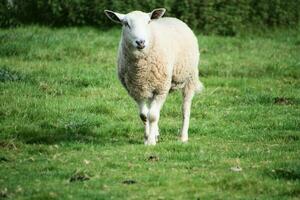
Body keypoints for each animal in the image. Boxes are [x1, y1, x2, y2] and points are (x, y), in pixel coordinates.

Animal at [103, 8, 204, 145]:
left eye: (148, 22)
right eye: (126, 24)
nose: (140, 42)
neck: (141, 69)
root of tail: (173, 18)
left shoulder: (161, 89)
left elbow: (153, 116)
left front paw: (150, 142)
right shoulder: (136, 90)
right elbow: (144, 115)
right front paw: (147, 137)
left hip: (190, 78)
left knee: (185, 109)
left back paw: (183, 137)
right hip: (152, 86)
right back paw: (156, 133)